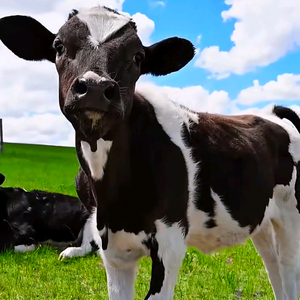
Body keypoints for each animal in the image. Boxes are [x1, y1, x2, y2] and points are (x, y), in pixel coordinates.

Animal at [0, 5, 300, 300]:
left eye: (138, 56)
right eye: (59, 46)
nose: (95, 87)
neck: (115, 195)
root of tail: (271, 112)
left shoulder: (170, 242)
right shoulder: (112, 248)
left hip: (291, 213)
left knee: (289, 268)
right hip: (261, 219)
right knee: (273, 265)